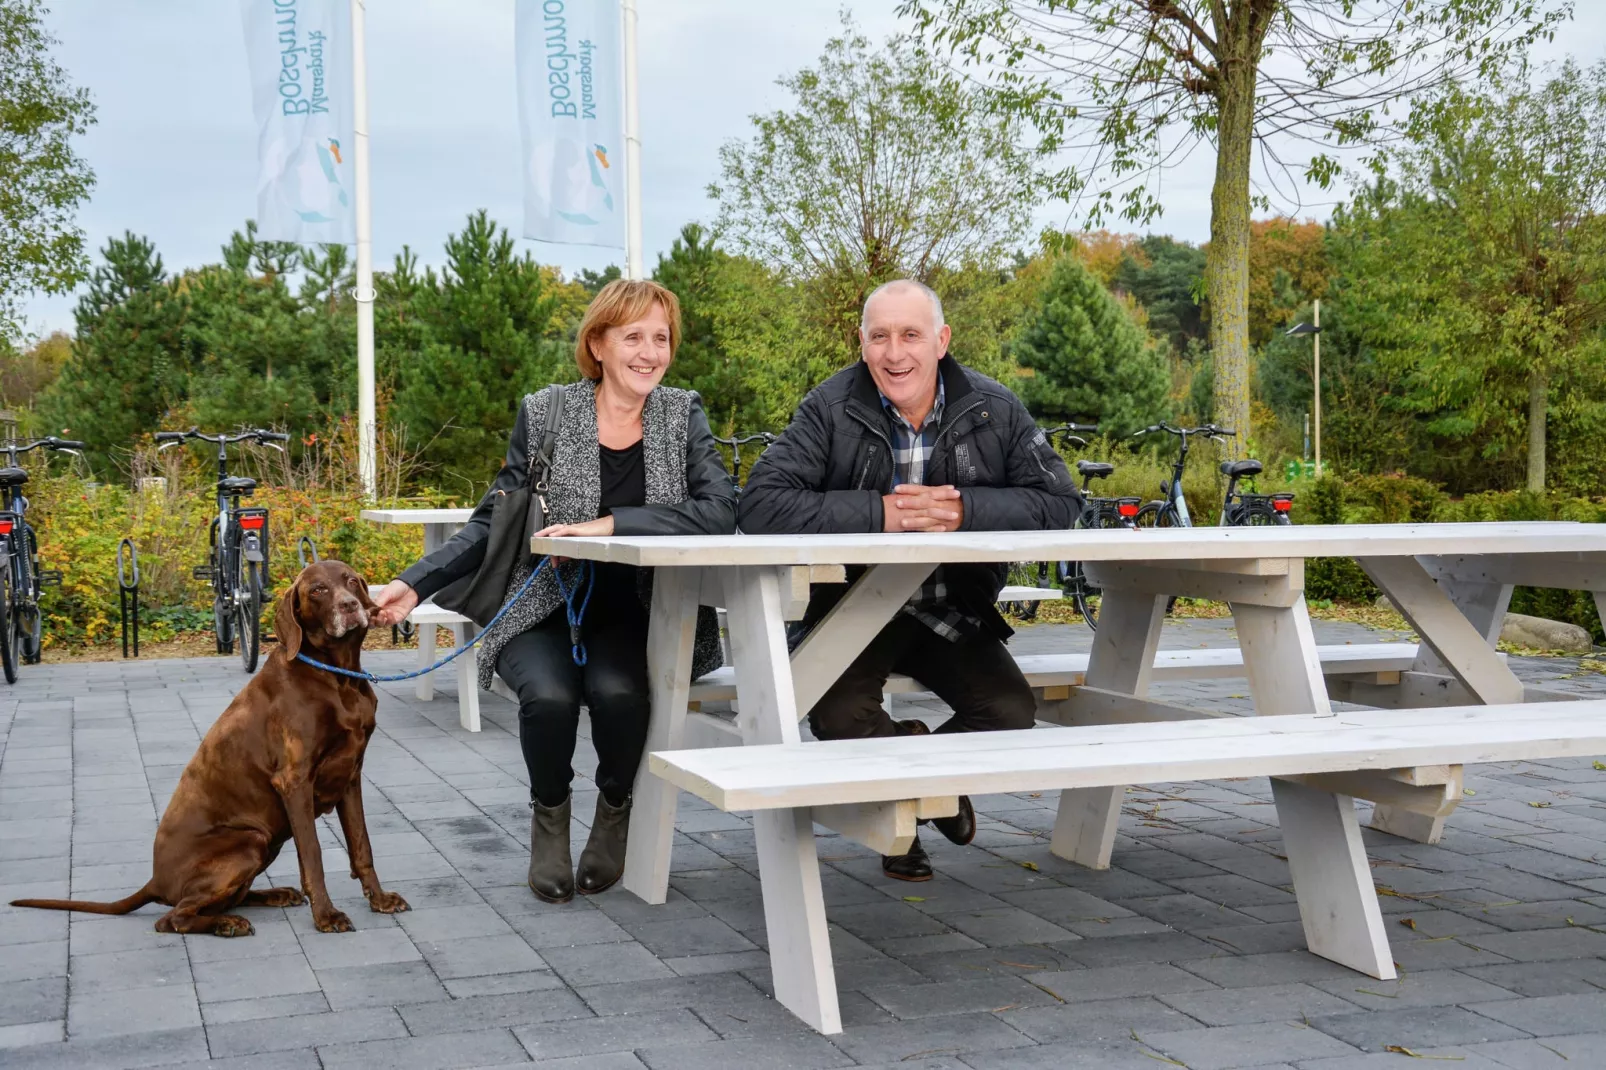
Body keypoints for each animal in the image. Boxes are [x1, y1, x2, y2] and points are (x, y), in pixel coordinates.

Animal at [10, 559, 407, 931]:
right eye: (318, 590)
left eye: (351, 581)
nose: (349, 606)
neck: (337, 679)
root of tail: (155, 882)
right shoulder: (295, 782)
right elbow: (313, 856)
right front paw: (326, 915)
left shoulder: (350, 776)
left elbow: (361, 846)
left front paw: (379, 899)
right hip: (249, 841)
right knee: (174, 918)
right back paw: (227, 924)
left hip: (266, 842)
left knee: (223, 900)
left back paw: (273, 895)